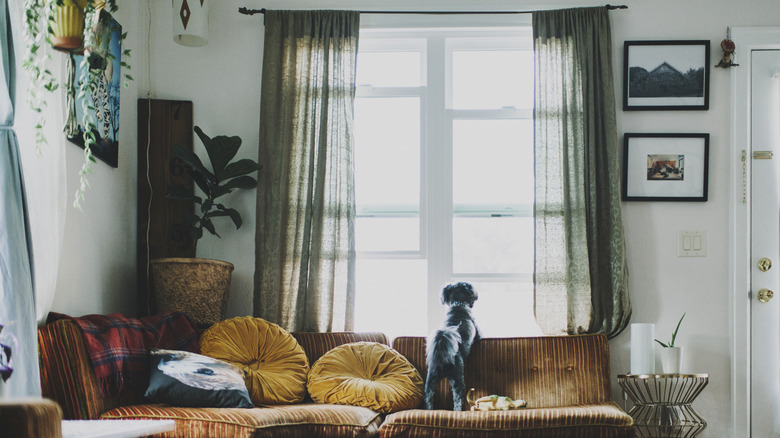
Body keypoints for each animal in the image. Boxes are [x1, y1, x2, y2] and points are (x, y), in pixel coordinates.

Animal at [424, 280, 478, 410]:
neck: (458, 304)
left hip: (430, 379)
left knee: (428, 397)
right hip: (457, 378)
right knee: (458, 398)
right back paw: (458, 409)